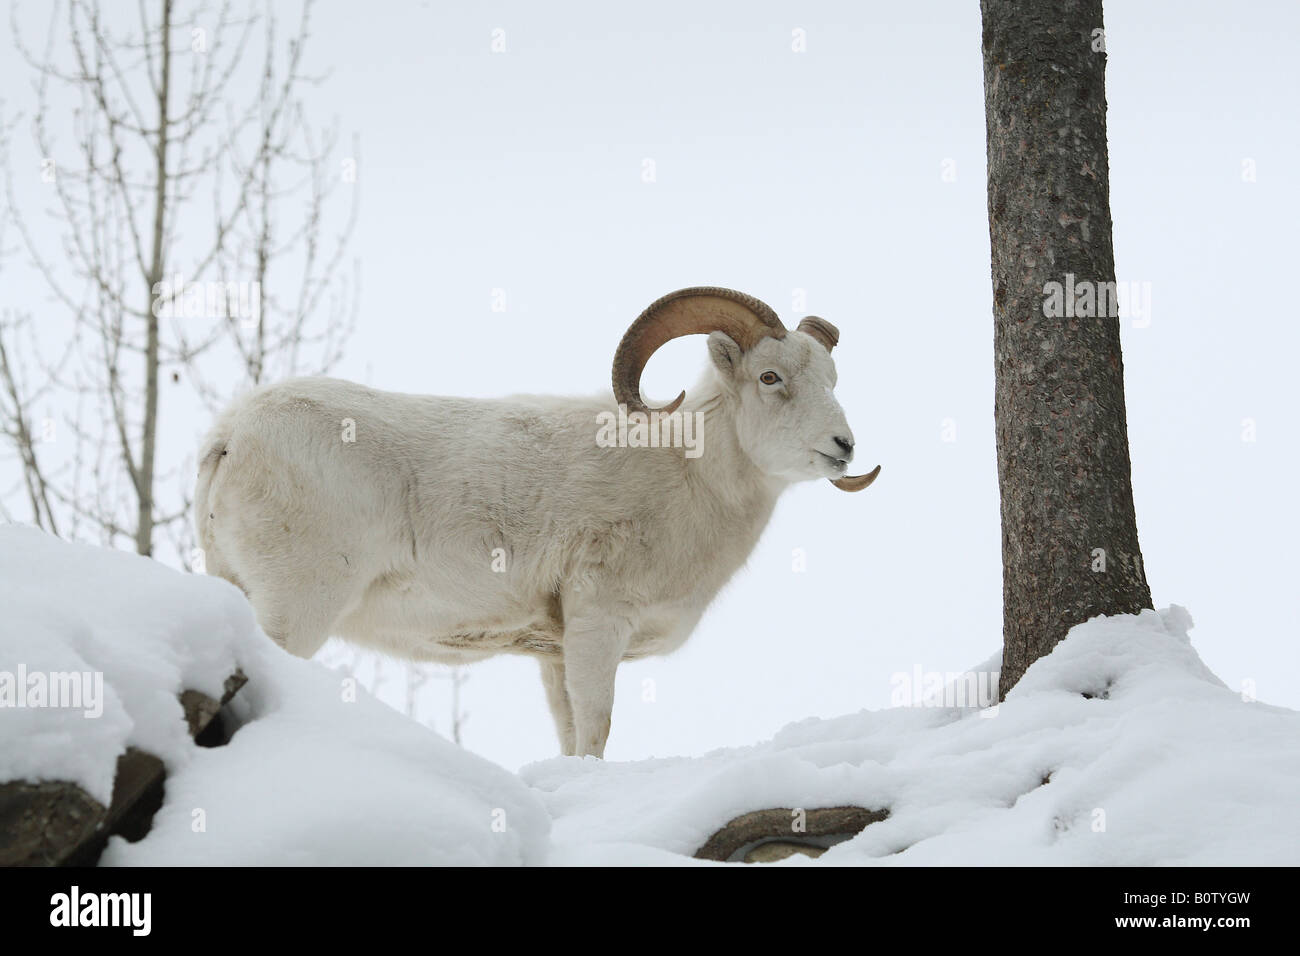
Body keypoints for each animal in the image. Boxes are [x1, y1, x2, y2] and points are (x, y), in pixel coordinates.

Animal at [195, 287, 883, 759]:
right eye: (770, 377)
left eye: (831, 379)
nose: (844, 447)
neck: (687, 476)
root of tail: (232, 436)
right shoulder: (599, 625)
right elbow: (597, 730)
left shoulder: (555, 653)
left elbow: (570, 733)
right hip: (297, 609)